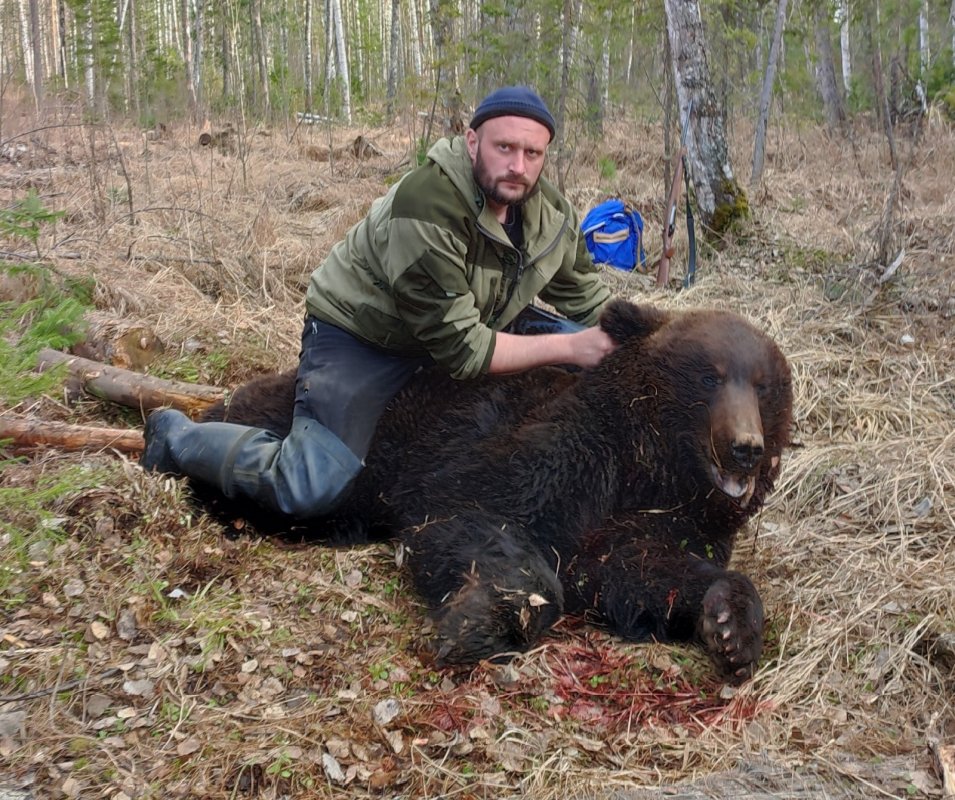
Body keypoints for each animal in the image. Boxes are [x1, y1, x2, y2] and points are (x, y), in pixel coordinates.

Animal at [199, 300, 793, 683]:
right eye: (710, 376)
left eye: (764, 385)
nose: (746, 447)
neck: (642, 466)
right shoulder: (551, 455)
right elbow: (477, 515)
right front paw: (477, 626)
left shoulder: (655, 522)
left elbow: (641, 572)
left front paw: (732, 629)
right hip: (339, 437)